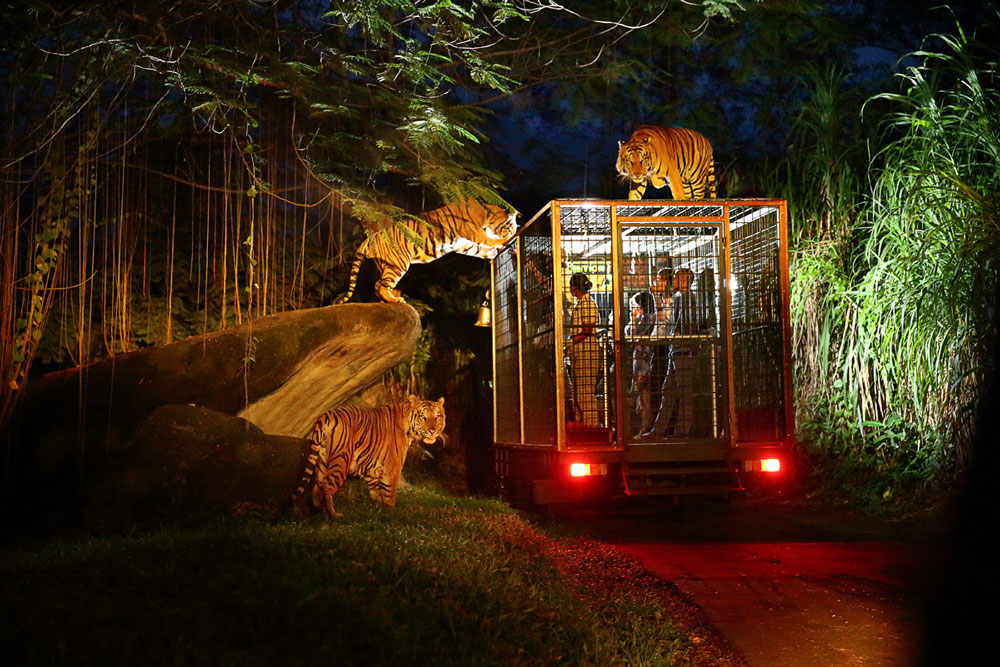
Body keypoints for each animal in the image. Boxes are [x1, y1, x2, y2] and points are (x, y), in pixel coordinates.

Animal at [290, 396, 446, 516]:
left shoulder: (372, 468)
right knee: (326, 487)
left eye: (437, 417)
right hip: (341, 460)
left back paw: (319, 510)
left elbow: (376, 491)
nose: (433, 431)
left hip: (322, 461)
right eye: (423, 417)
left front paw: (377, 509)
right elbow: (389, 492)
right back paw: (334, 515)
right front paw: (391, 512)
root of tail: (326, 415)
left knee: (316, 487)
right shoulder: (392, 468)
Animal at [340, 197, 520, 304]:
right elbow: (489, 241)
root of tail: (373, 236)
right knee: (379, 285)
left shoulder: (462, 243)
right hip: (398, 264)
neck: (486, 216)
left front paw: (492, 252)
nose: (513, 231)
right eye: (511, 226)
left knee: (380, 286)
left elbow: (477, 249)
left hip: (387, 264)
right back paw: (396, 300)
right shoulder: (472, 232)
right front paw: (504, 241)